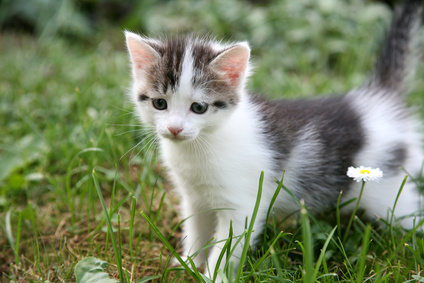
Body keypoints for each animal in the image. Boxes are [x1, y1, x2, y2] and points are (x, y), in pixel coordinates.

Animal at [124, 0, 422, 280]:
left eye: (198, 108)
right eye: (160, 103)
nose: (175, 129)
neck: (200, 146)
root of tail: (378, 101)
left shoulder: (242, 205)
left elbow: (227, 246)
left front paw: (213, 276)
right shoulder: (194, 196)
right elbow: (196, 227)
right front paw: (187, 263)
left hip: (388, 193)